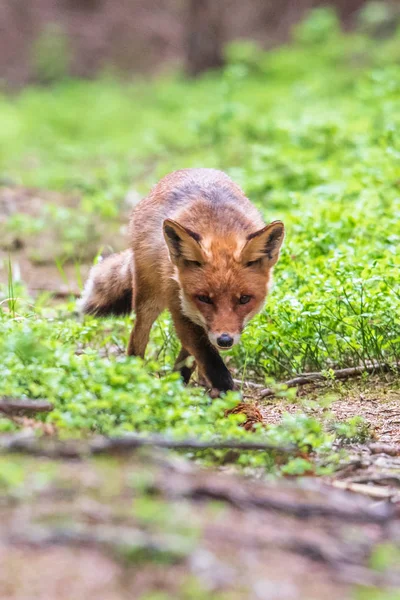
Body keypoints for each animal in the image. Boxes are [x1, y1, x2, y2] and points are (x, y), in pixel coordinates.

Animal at [79, 169, 284, 394]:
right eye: (204, 298)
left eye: (244, 299)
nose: (225, 340)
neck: (219, 230)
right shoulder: (180, 310)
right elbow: (212, 363)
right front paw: (230, 397)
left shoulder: (199, 322)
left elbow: (195, 358)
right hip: (148, 300)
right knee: (136, 341)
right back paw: (135, 378)